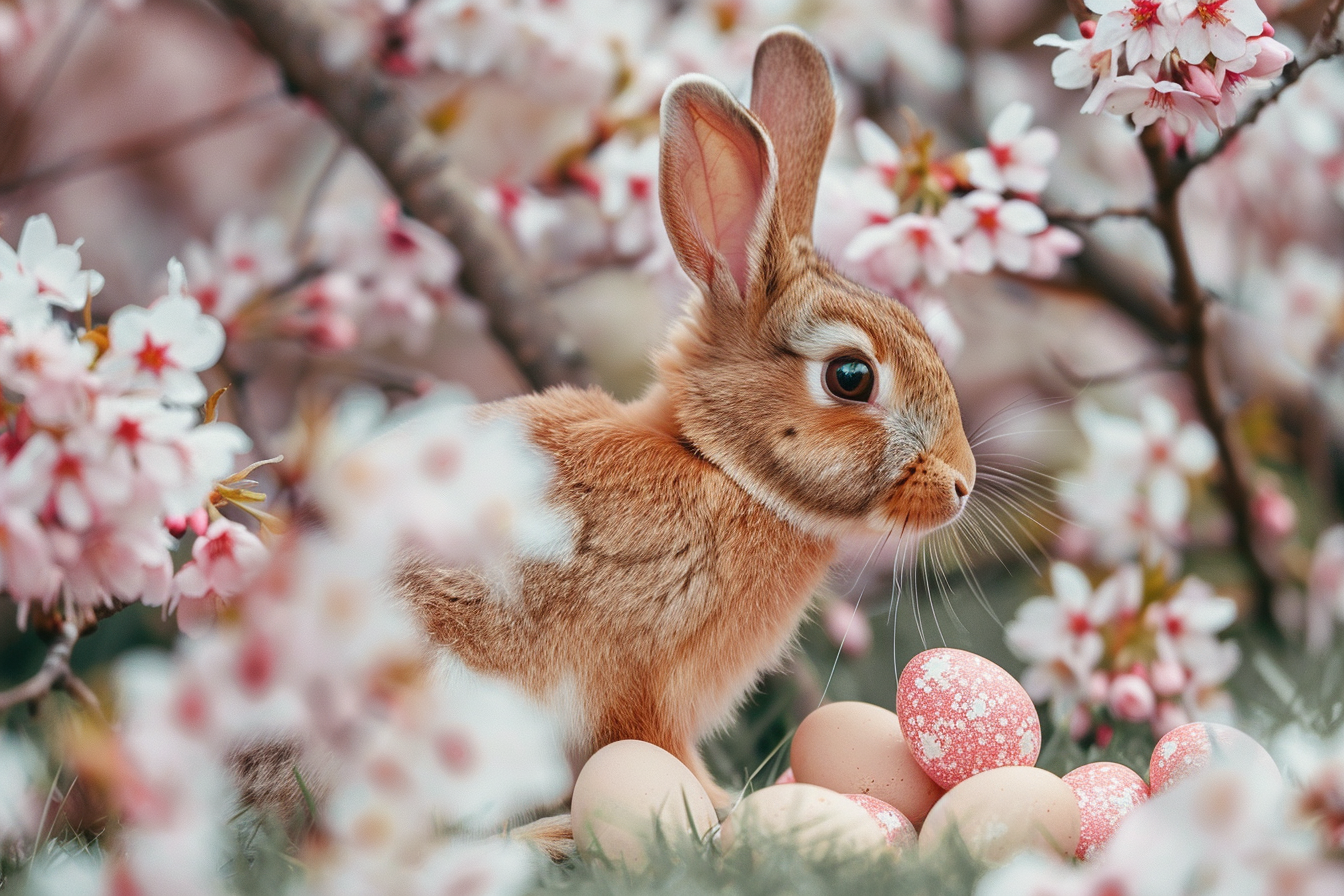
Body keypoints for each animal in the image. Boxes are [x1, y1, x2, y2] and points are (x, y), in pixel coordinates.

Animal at [397, 26, 975, 816]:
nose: (963, 483)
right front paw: (723, 805)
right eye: (851, 377)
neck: (719, 467)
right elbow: (655, 750)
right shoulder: (643, 676)